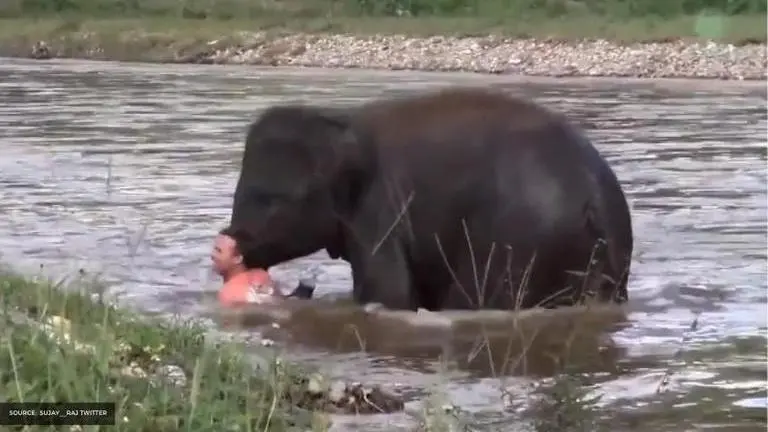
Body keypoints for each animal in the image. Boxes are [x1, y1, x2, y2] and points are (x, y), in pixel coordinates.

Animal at [228, 87, 634, 311]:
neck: (341, 118)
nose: (225, 247)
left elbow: (388, 292)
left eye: (269, 198)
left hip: (519, 243)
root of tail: (594, 200)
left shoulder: (379, 208)